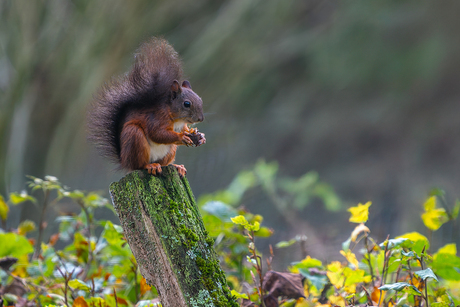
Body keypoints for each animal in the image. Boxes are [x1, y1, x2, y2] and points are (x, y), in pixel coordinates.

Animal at [87, 37, 205, 177]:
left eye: (200, 99)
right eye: (186, 104)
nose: (201, 119)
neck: (176, 118)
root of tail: (124, 161)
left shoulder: (181, 125)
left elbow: (185, 129)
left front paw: (199, 135)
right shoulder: (156, 118)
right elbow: (157, 133)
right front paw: (182, 137)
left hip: (170, 150)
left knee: (164, 163)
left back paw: (177, 166)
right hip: (134, 137)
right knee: (139, 165)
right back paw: (151, 166)